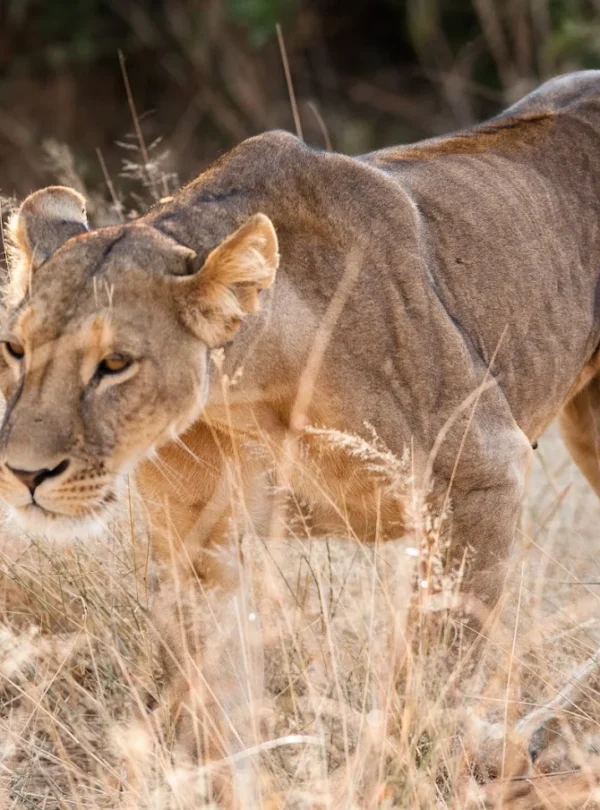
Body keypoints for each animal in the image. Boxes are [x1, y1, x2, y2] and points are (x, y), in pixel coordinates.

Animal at [2, 69, 600, 767]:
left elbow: (433, 670)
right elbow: (210, 703)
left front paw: (413, 763)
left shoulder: (481, 476)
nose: (24, 475)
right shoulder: (195, 541)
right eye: (16, 349)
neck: (248, 397)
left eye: (115, 364)